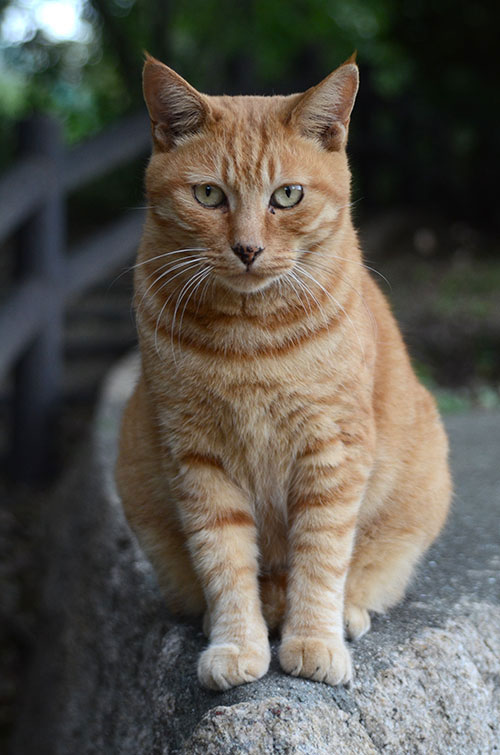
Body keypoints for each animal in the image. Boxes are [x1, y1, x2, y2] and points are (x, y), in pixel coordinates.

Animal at [115, 53, 452, 692]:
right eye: (208, 195)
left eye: (287, 195)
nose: (247, 249)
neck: (251, 338)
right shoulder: (197, 458)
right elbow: (224, 562)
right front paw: (236, 644)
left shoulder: (333, 450)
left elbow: (321, 558)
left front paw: (314, 642)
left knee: (357, 574)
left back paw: (344, 615)